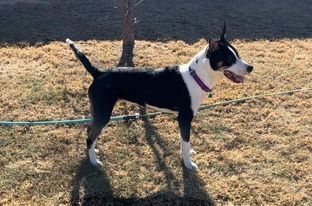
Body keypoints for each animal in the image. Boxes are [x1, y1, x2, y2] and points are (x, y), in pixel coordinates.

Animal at [66, 23, 254, 170]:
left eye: (237, 54)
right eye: (229, 58)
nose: (250, 67)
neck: (196, 76)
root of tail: (98, 73)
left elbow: (184, 142)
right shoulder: (184, 118)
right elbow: (185, 141)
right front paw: (188, 164)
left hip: (98, 111)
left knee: (90, 131)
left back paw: (93, 151)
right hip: (104, 113)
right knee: (90, 136)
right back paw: (94, 161)